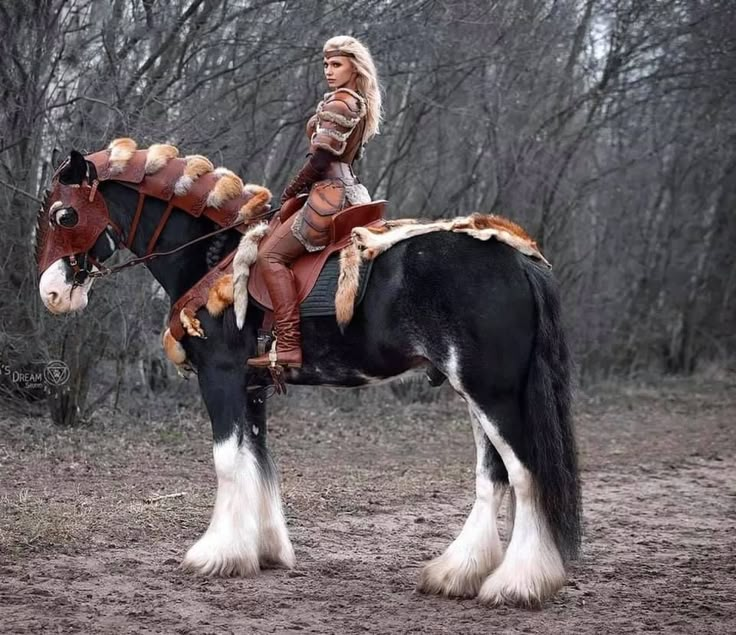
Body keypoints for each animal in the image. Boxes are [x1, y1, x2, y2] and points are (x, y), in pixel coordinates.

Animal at [34, 143, 580, 608]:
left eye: (65, 214)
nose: (52, 294)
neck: (215, 258)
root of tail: (517, 255)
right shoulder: (253, 389)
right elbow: (258, 462)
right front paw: (263, 551)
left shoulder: (221, 378)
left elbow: (228, 462)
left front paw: (217, 554)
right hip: (477, 393)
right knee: (493, 475)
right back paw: (458, 573)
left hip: (494, 394)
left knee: (525, 474)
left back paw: (518, 582)